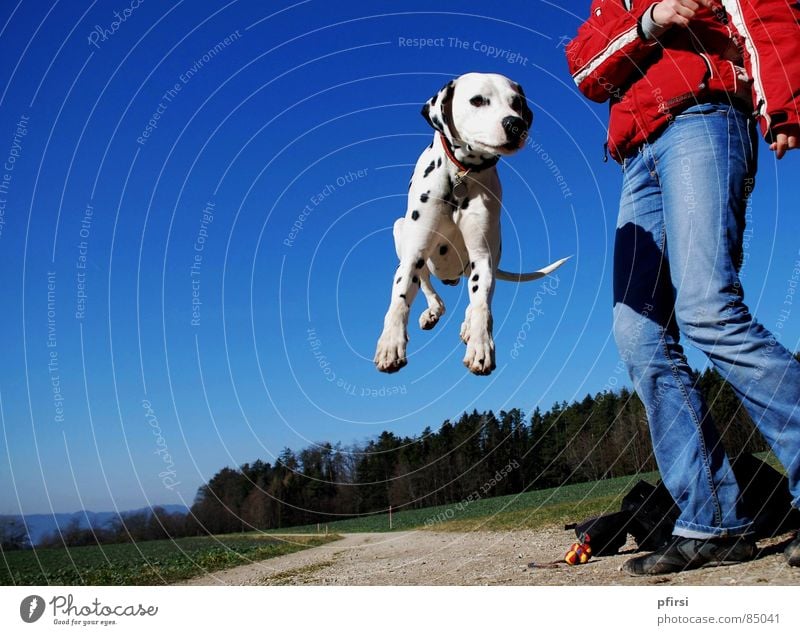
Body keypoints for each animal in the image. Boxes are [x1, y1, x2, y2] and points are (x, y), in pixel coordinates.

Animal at [374, 72, 568, 376]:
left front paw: (480, 344)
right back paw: (433, 310)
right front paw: (391, 343)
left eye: (516, 103)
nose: (516, 125)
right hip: (401, 230)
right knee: (428, 285)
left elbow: (481, 306)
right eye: (478, 100)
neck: (460, 175)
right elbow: (400, 298)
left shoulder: (482, 256)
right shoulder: (414, 252)